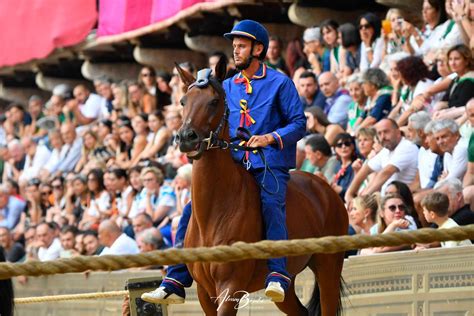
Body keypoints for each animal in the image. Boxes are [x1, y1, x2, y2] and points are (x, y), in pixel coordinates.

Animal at [174, 58, 348, 314]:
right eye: (183, 101)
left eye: (214, 102)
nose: (187, 137)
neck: (217, 210)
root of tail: (325, 189)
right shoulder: (204, 293)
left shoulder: (230, 287)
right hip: (288, 285)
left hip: (328, 267)